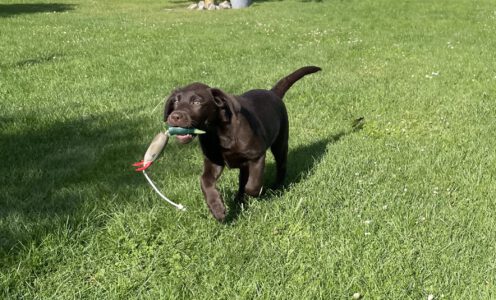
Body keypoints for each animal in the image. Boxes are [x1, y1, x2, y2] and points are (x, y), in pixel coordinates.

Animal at [165, 66, 322, 220]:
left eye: (196, 102)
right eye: (176, 101)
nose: (175, 116)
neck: (217, 133)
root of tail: (273, 93)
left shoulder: (257, 156)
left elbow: (253, 185)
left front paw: (252, 194)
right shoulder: (214, 161)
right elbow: (205, 181)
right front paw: (217, 208)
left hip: (280, 143)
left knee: (281, 166)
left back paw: (276, 188)